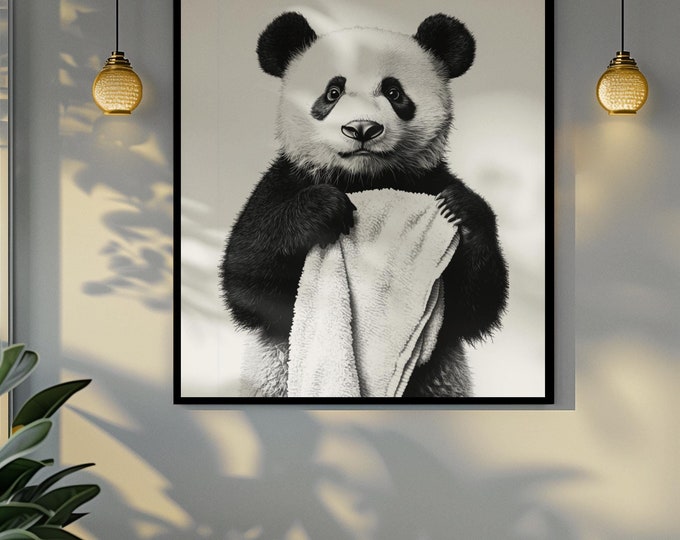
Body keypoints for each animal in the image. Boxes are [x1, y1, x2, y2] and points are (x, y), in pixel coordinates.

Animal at [219, 12, 508, 397]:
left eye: (394, 92)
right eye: (333, 92)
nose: (362, 128)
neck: (365, 179)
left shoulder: (429, 179)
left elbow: (473, 308)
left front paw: (461, 209)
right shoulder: (284, 181)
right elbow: (247, 279)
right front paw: (322, 208)